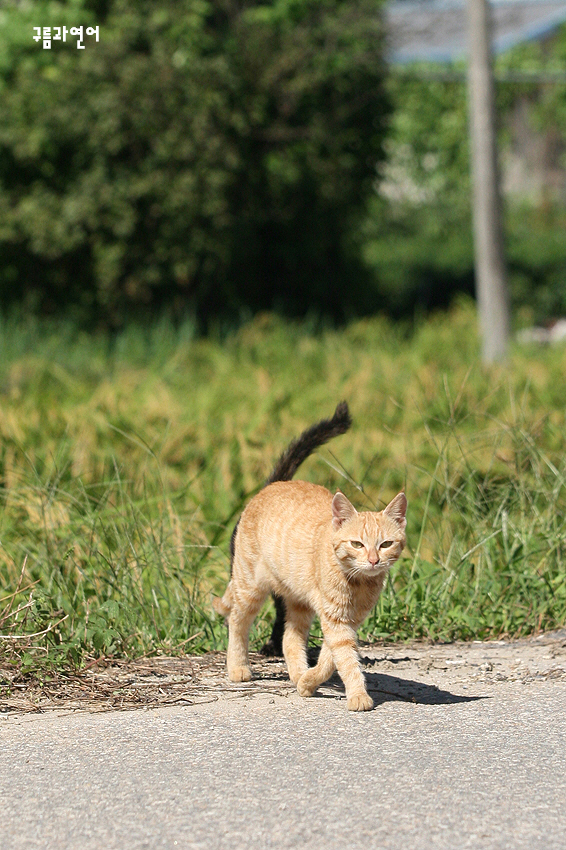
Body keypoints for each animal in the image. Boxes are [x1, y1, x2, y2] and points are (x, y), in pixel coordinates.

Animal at [214, 404, 408, 708]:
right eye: (357, 544)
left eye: (386, 544)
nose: (374, 561)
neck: (358, 583)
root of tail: (274, 484)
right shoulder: (335, 618)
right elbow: (344, 658)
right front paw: (358, 696)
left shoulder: (347, 620)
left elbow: (332, 657)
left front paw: (309, 681)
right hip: (250, 585)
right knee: (237, 621)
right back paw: (238, 668)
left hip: (297, 600)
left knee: (289, 638)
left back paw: (298, 674)